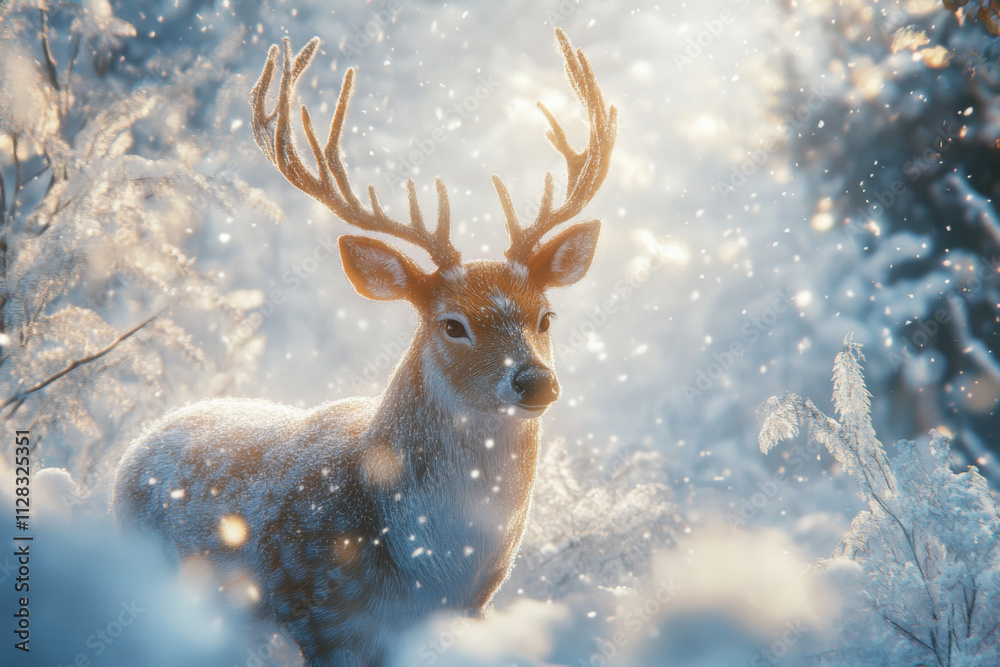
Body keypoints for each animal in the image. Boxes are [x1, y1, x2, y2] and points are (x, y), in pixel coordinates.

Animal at [111, 28, 615, 666]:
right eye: (452, 324)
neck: (429, 569)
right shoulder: (316, 616)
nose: (535, 381)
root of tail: (140, 442)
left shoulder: (466, 614)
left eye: (546, 316)